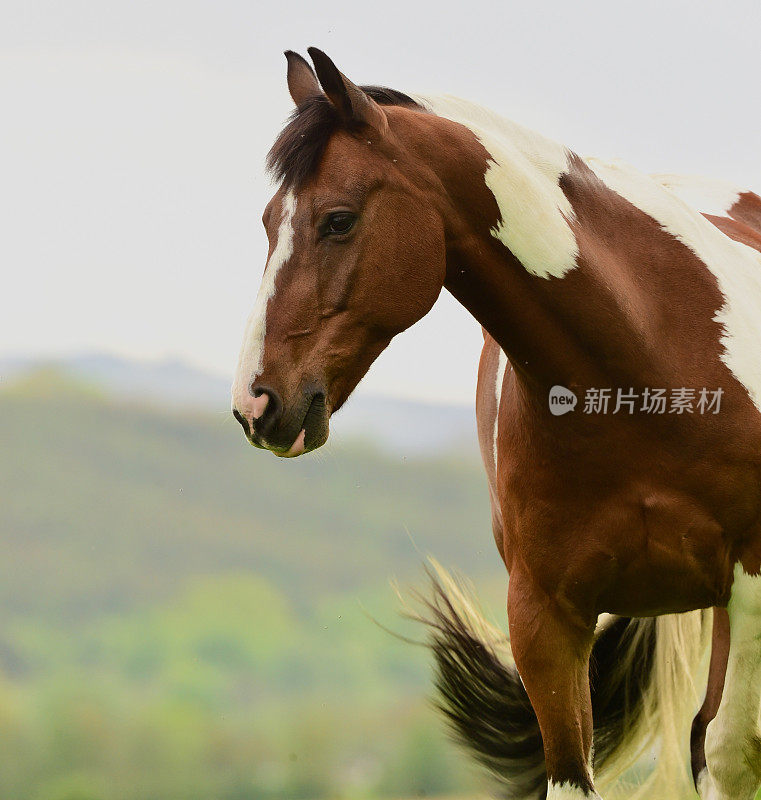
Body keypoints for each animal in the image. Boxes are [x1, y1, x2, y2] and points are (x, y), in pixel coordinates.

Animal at [230, 50, 760, 800]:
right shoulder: (544, 616)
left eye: (337, 219)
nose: (256, 403)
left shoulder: (751, 586)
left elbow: (732, 752)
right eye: (270, 220)